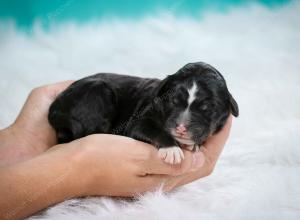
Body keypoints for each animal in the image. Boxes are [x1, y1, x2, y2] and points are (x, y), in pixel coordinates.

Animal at [48, 61, 238, 163]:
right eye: (173, 101)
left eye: (207, 108)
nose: (181, 127)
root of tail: (55, 108)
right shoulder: (138, 121)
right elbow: (152, 129)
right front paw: (172, 149)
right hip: (97, 92)